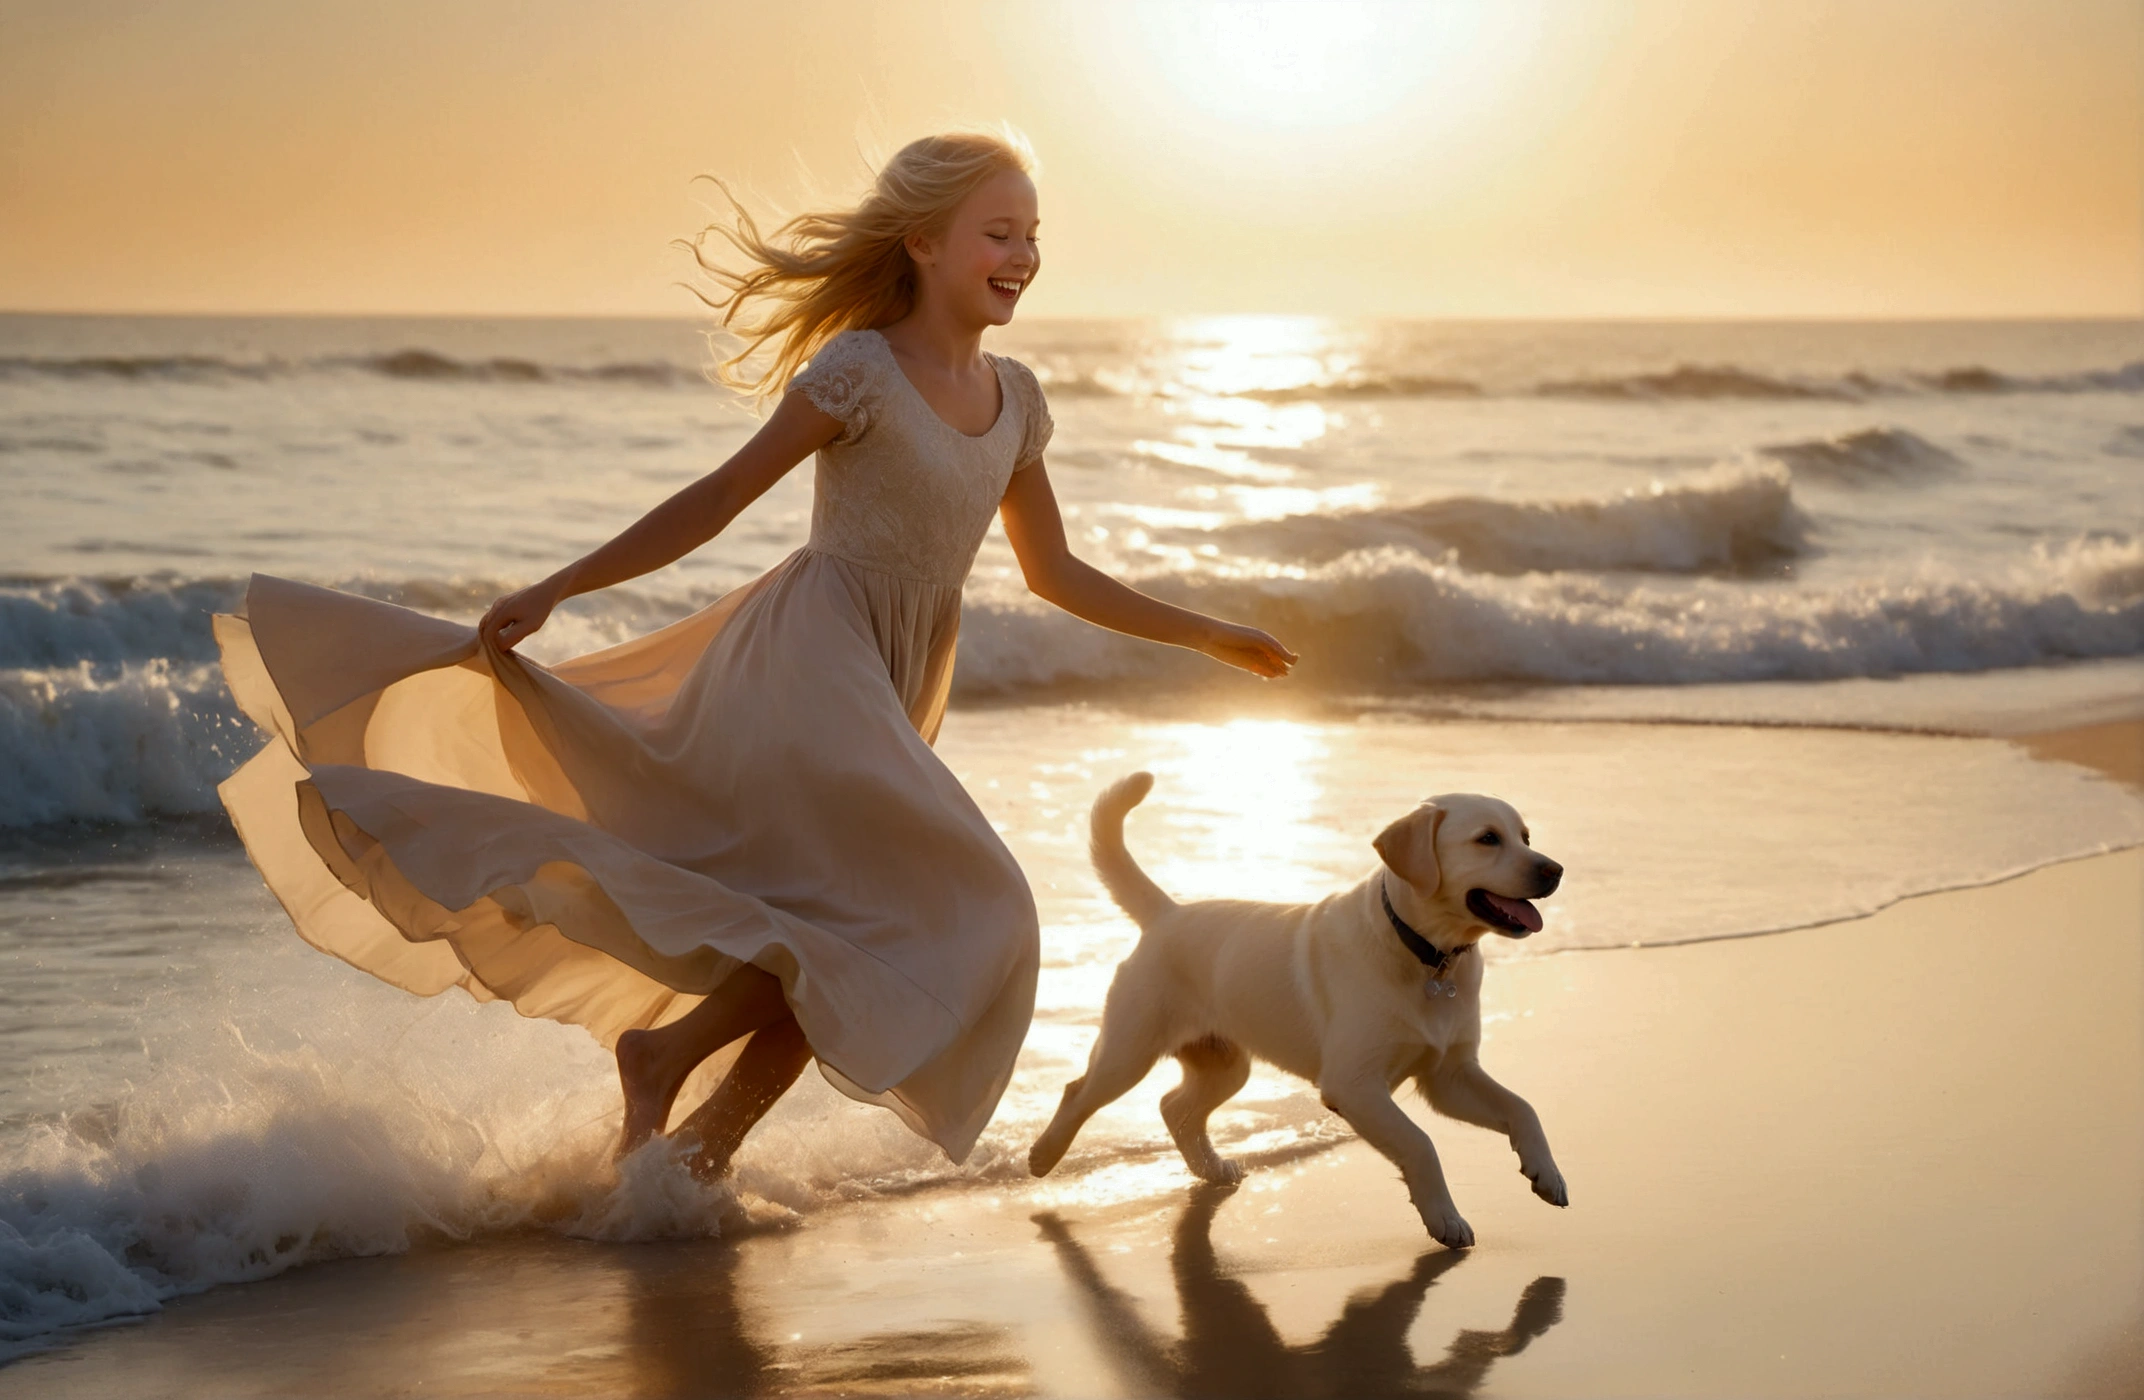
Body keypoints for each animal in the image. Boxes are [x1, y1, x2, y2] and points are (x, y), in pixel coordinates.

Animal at [1029, 771, 1569, 1252]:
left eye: (1524, 837)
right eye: (1487, 839)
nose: (1555, 870)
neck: (1429, 957)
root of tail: (1168, 912)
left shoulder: (1449, 1076)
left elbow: (1523, 1107)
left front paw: (1546, 1174)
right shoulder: (1354, 1084)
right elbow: (1420, 1143)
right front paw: (1445, 1219)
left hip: (1226, 1063)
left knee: (1173, 1105)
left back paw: (1212, 1169)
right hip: (1131, 1048)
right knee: (1081, 1091)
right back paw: (1042, 1155)